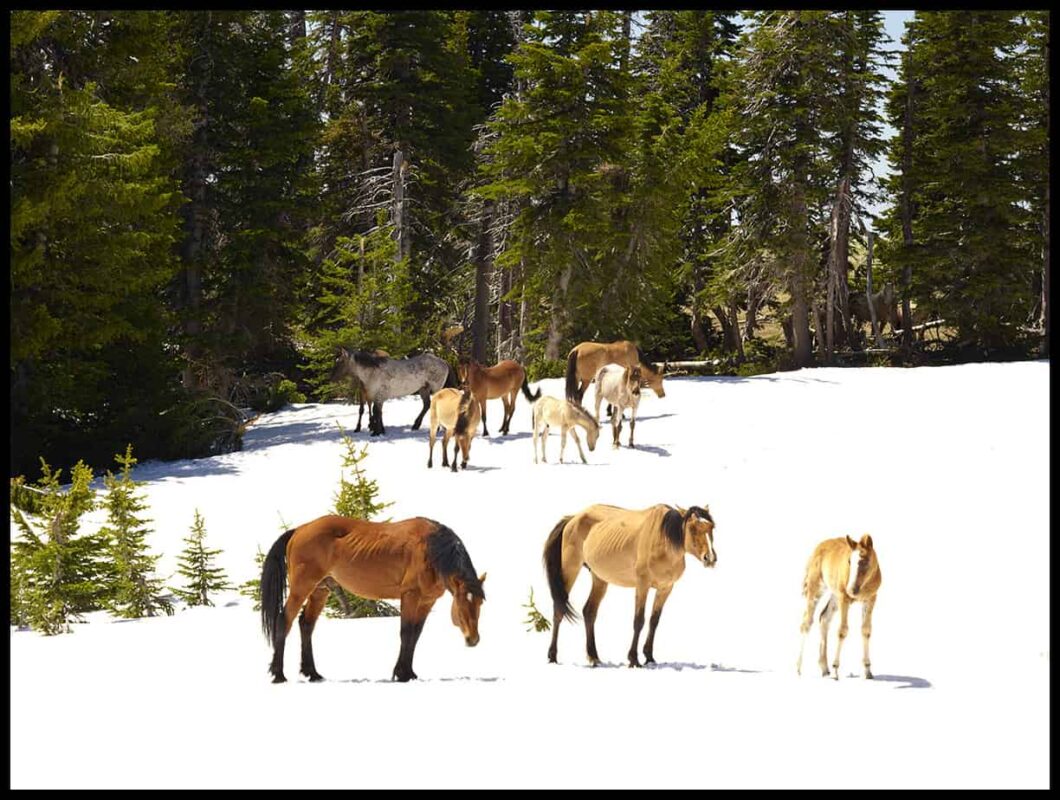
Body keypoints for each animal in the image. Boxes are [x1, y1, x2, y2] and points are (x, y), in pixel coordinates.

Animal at [260, 514, 486, 683]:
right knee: (284, 620)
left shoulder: (426, 601)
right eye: (461, 600)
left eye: (480, 602)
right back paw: (279, 675)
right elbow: (406, 633)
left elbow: (415, 634)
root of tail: (299, 530)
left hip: (320, 589)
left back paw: (312, 674)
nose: (473, 639)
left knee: (306, 624)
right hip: (302, 587)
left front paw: (410, 672)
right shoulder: (410, 595)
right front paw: (401, 674)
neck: (431, 550)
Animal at [542, 503, 716, 668]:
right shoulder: (642, 585)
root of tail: (573, 517)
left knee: (589, 612)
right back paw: (553, 656)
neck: (663, 538)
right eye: (692, 528)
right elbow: (639, 621)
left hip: (599, 579)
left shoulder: (665, 588)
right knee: (559, 609)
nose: (710, 558)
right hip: (570, 568)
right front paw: (633, 659)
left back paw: (594, 657)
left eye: (712, 527)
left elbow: (654, 621)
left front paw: (649, 657)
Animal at [796, 534, 882, 680]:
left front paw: (867, 671)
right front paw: (835, 670)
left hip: (834, 595)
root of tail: (817, 548)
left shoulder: (871, 598)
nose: (851, 590)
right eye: (849, 561)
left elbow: (866, 630)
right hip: (816, 589)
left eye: (865, 561)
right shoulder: (844, 598)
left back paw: (825, 668)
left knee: (824, 617)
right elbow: (842, 631)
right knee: (806, 623)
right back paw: (798, 668)